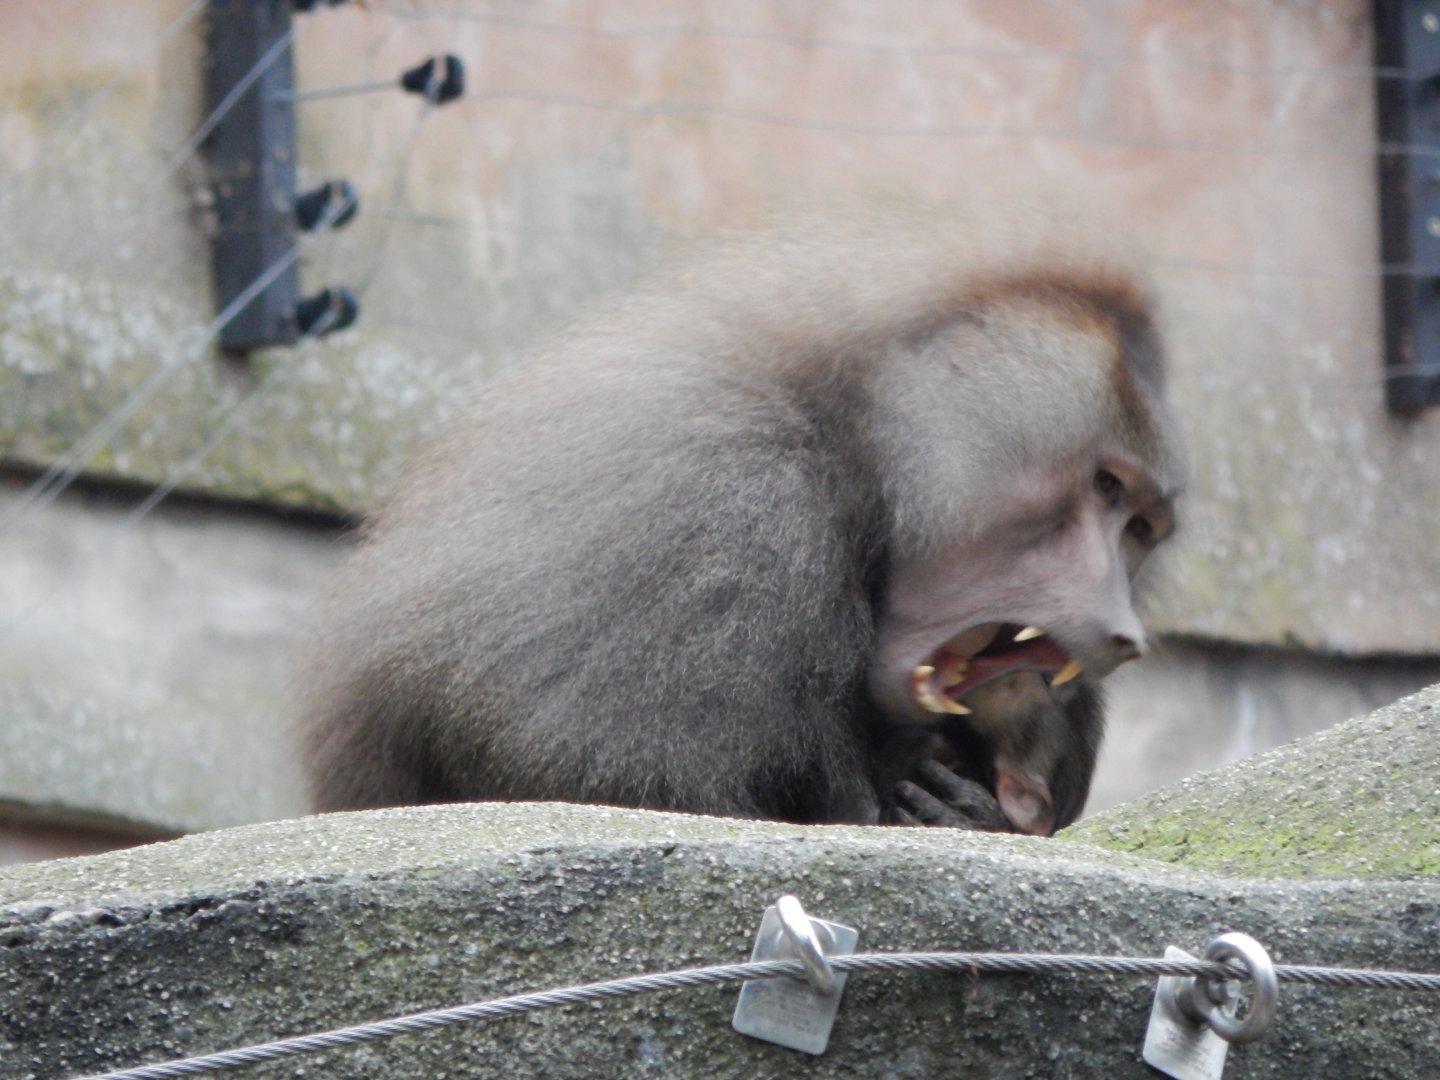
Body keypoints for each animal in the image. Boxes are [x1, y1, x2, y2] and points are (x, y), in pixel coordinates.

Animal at [296, 208, 1182, 833]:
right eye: (1105, 485)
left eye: (1140, 528)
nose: (1125, 634)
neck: (858, 445)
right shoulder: (727, 516)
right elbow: (595, 772)